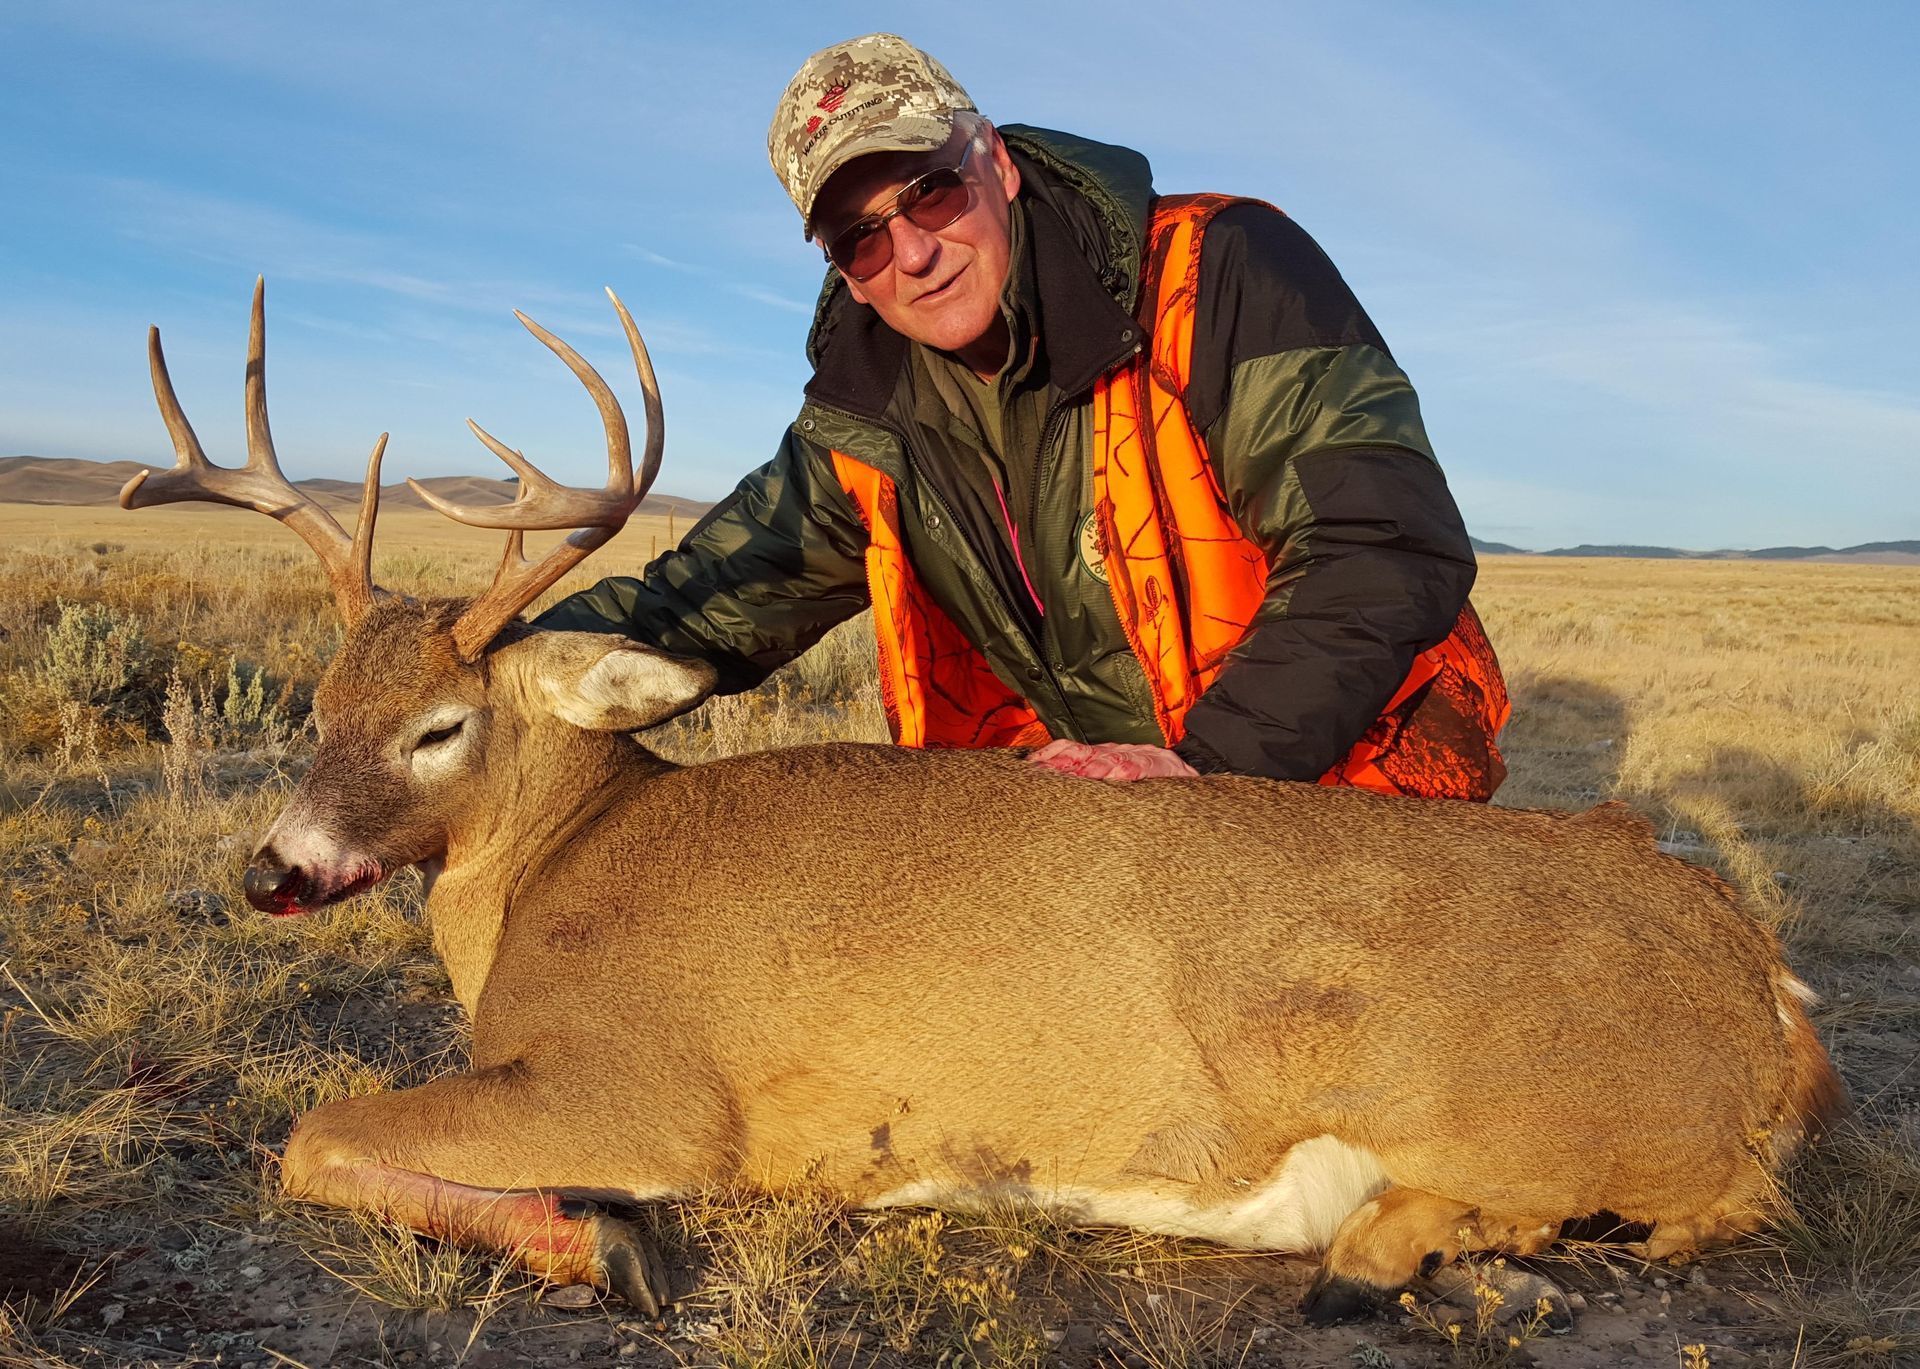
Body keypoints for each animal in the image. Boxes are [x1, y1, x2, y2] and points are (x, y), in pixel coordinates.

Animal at [122, 279, 1843, 1329]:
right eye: (315, 706)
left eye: (441, 726)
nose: (273, 869)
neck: (559, 870)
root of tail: (1763, 980)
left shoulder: (651, 1088)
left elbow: (311, 1132)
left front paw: (602, 1239)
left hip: (1550, 1107)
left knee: (1703, 1201)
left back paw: (1390, 1258)